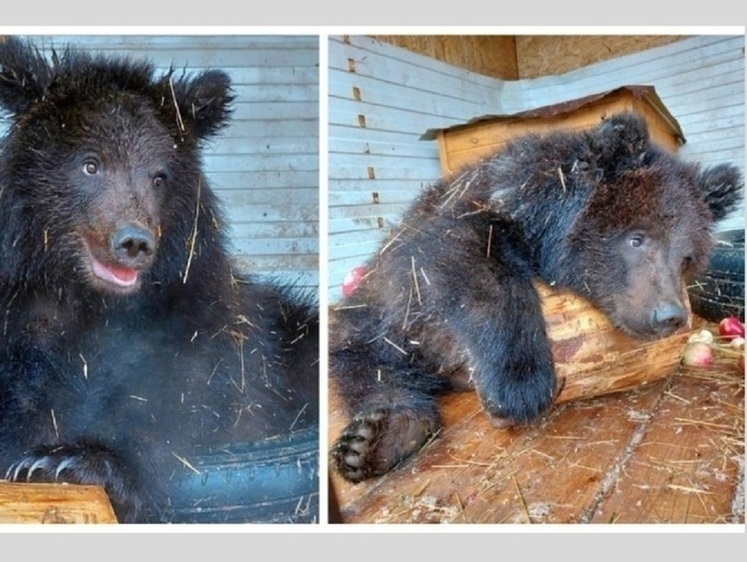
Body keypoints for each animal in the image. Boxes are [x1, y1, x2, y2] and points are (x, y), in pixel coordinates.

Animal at [0, 38, 318, 520]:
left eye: (158, 177)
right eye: (90, 164)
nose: (134, 241)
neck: (90, 298)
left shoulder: (195, 312)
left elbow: (183, 396)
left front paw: (70, 460)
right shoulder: (19, 312)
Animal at [332, 110, 744, 482]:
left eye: (686, 258)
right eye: (637, 238)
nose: (669, 315)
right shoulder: (464, 217)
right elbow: (469, 261)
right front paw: (519, 385)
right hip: (380, 307)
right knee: (364, 356)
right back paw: (378, 436)